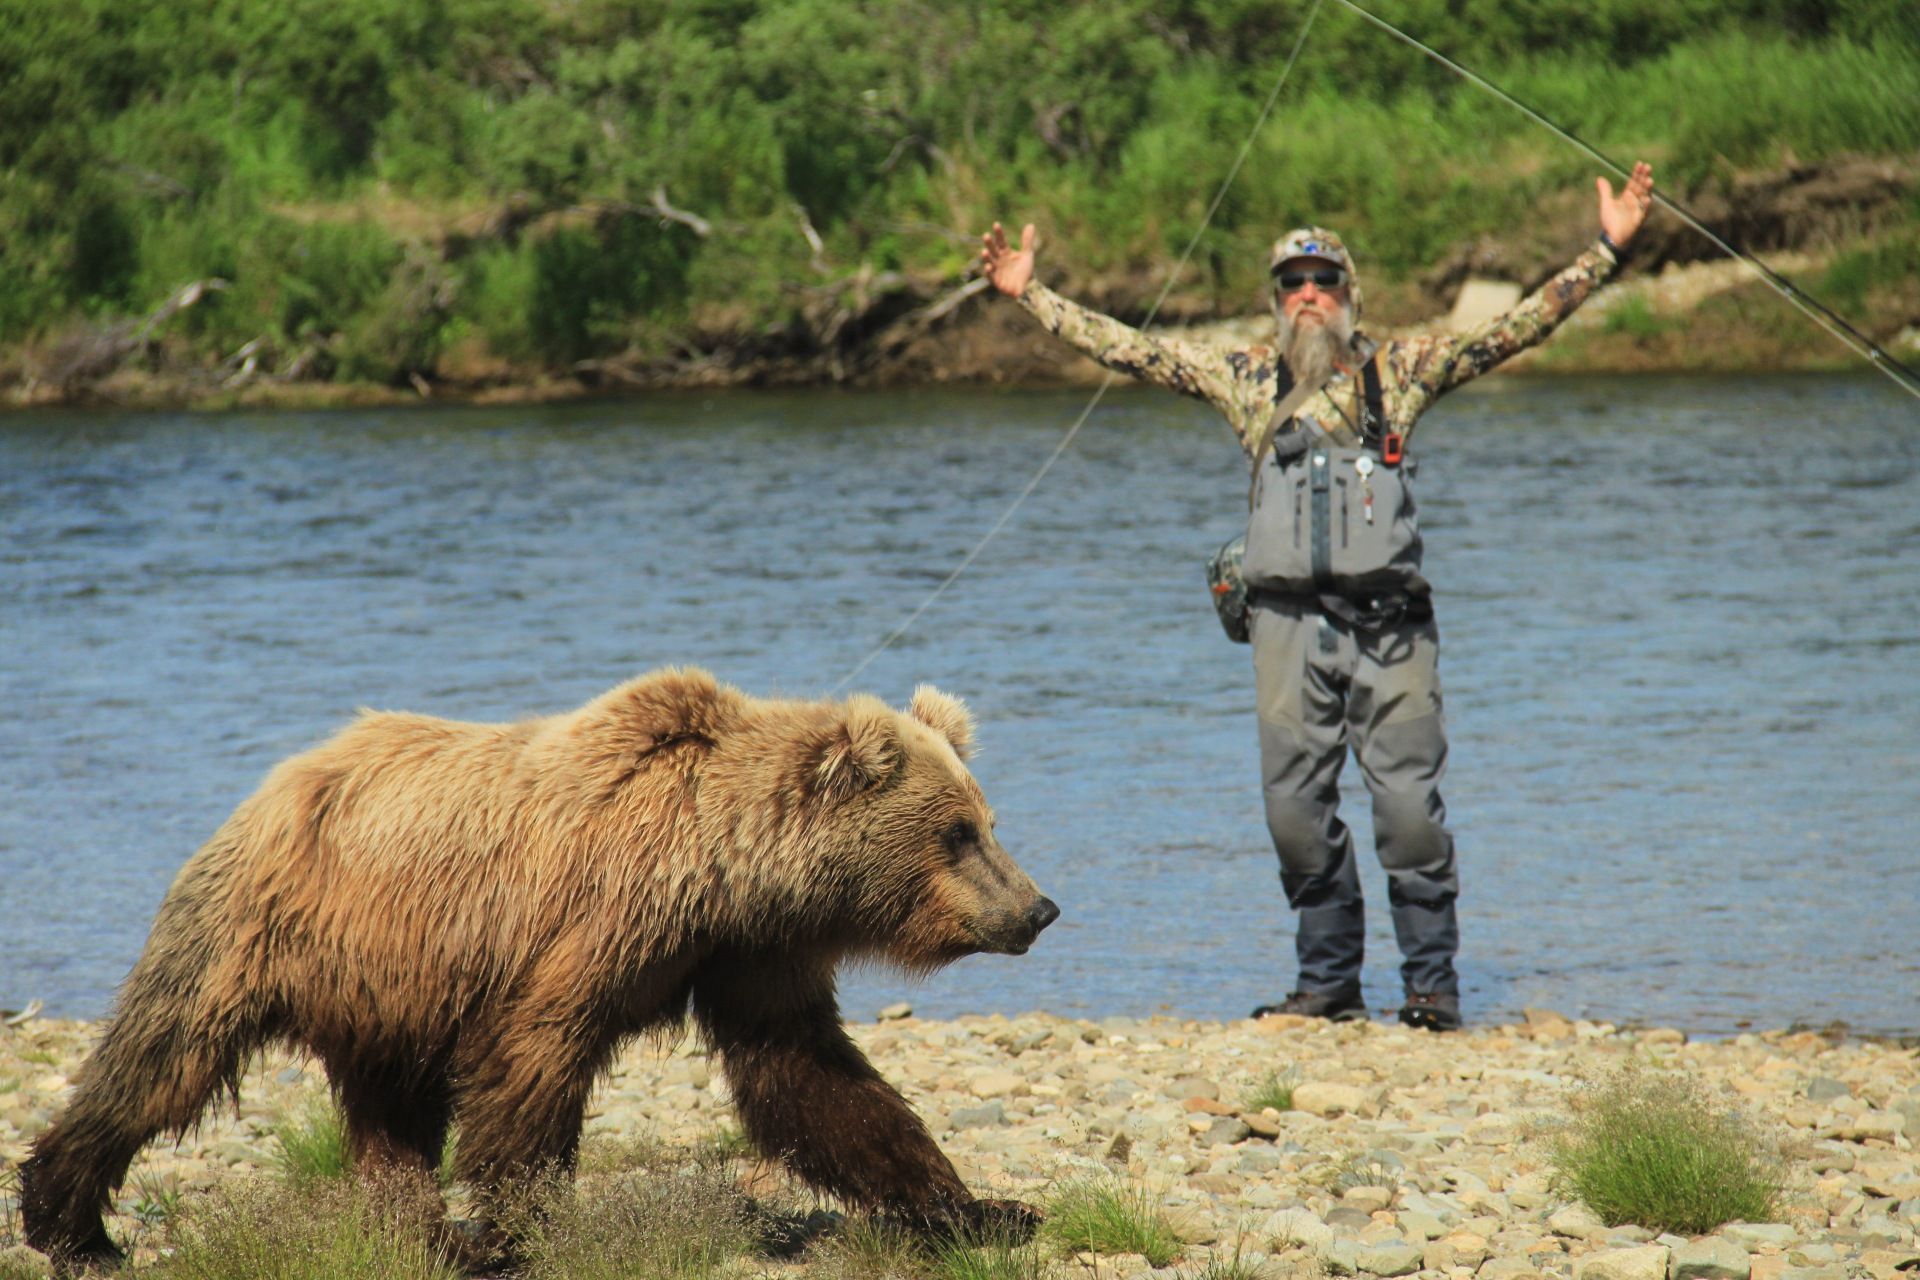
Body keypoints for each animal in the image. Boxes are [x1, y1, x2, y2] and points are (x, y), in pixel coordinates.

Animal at [21, 667, 1058, 1270]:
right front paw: (521, 1232)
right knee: (163, 1057)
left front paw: (981, 1208)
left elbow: (812, 1079)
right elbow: (536, 1061)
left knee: (390, 1114)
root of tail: (287, 774)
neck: (722, 869)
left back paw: (418, 1229)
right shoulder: (593, 921)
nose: (1038, 909)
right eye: (958, 832)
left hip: (389, 984)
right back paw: (70, 1221)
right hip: (264, 923)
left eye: (986, 820)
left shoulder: (748, 954)